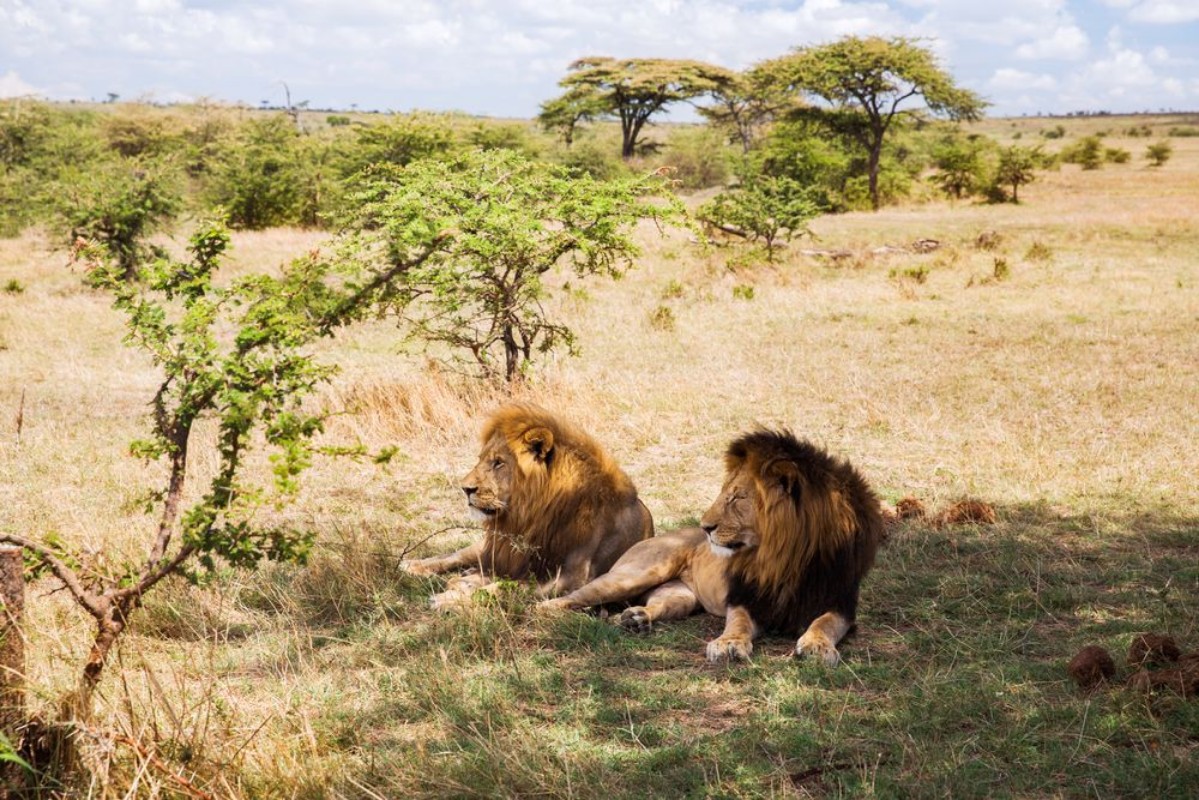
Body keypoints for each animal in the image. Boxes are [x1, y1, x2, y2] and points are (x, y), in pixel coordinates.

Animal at [402, 403, 654, 609]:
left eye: (499, 462)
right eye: (481, 459)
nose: (465, 488)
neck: (531, 515)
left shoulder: (570, 578)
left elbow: (503, 588)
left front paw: (450, 599)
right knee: (458, 554)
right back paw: (413, 564)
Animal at [543, 429, 884, 666]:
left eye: (737, 498)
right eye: (727, 495)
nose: (705, 527)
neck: (785, 557)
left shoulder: (840, 603)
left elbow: (824, 623)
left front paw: (817, 646)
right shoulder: (745, 598)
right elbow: (739, 623)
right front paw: (728, 644)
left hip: (680, 596)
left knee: (652, 606)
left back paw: (635, 619)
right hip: (635, 574)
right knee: (561, 600)